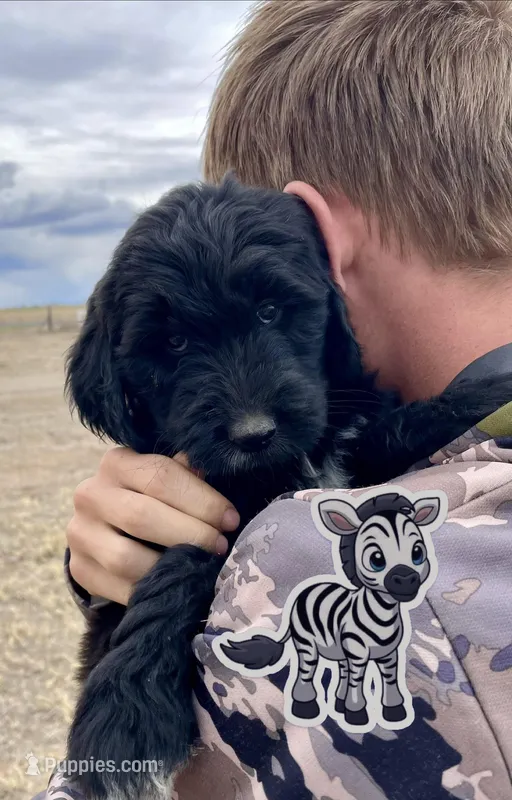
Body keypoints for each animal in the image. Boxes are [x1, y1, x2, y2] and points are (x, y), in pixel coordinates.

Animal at [214, 488, 444, 730]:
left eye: (417, 553)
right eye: (376, 559)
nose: (406, 580)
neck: (381, 617)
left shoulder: (389, 655)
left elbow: (389, 682)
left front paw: (394, 712)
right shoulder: (358, 653)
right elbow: (357, 681)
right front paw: (357, 714)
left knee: (342, 671)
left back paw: (338, 704)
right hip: (307, 644)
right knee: (307, 673)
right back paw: (306, 708)